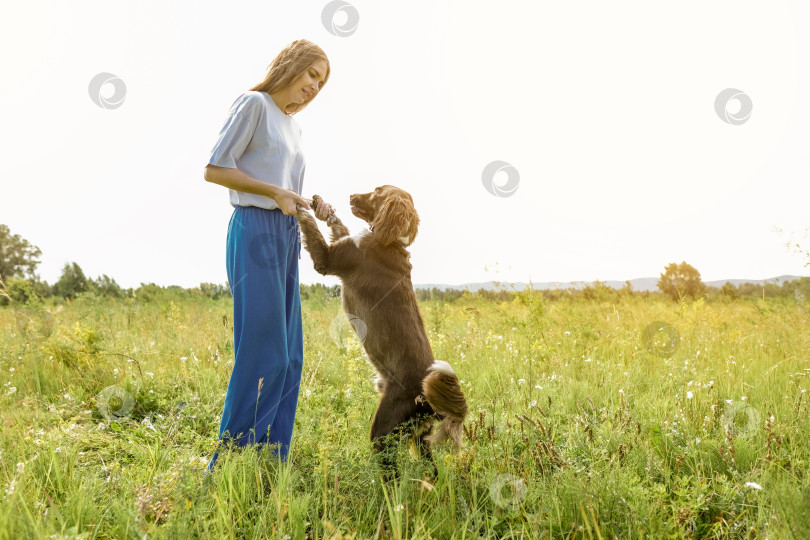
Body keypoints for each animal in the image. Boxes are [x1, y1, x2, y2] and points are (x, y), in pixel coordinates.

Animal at [296, 186, 468, 476]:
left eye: (377, 191)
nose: (351, 196)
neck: (390, 240)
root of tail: (427, 398)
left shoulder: (328, 259)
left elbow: (310, 228)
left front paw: (300, 207)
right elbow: (339, 227)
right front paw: (323, 208)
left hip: (384, 429)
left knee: (389, 467)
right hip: (420, 437)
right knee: (430, 469)